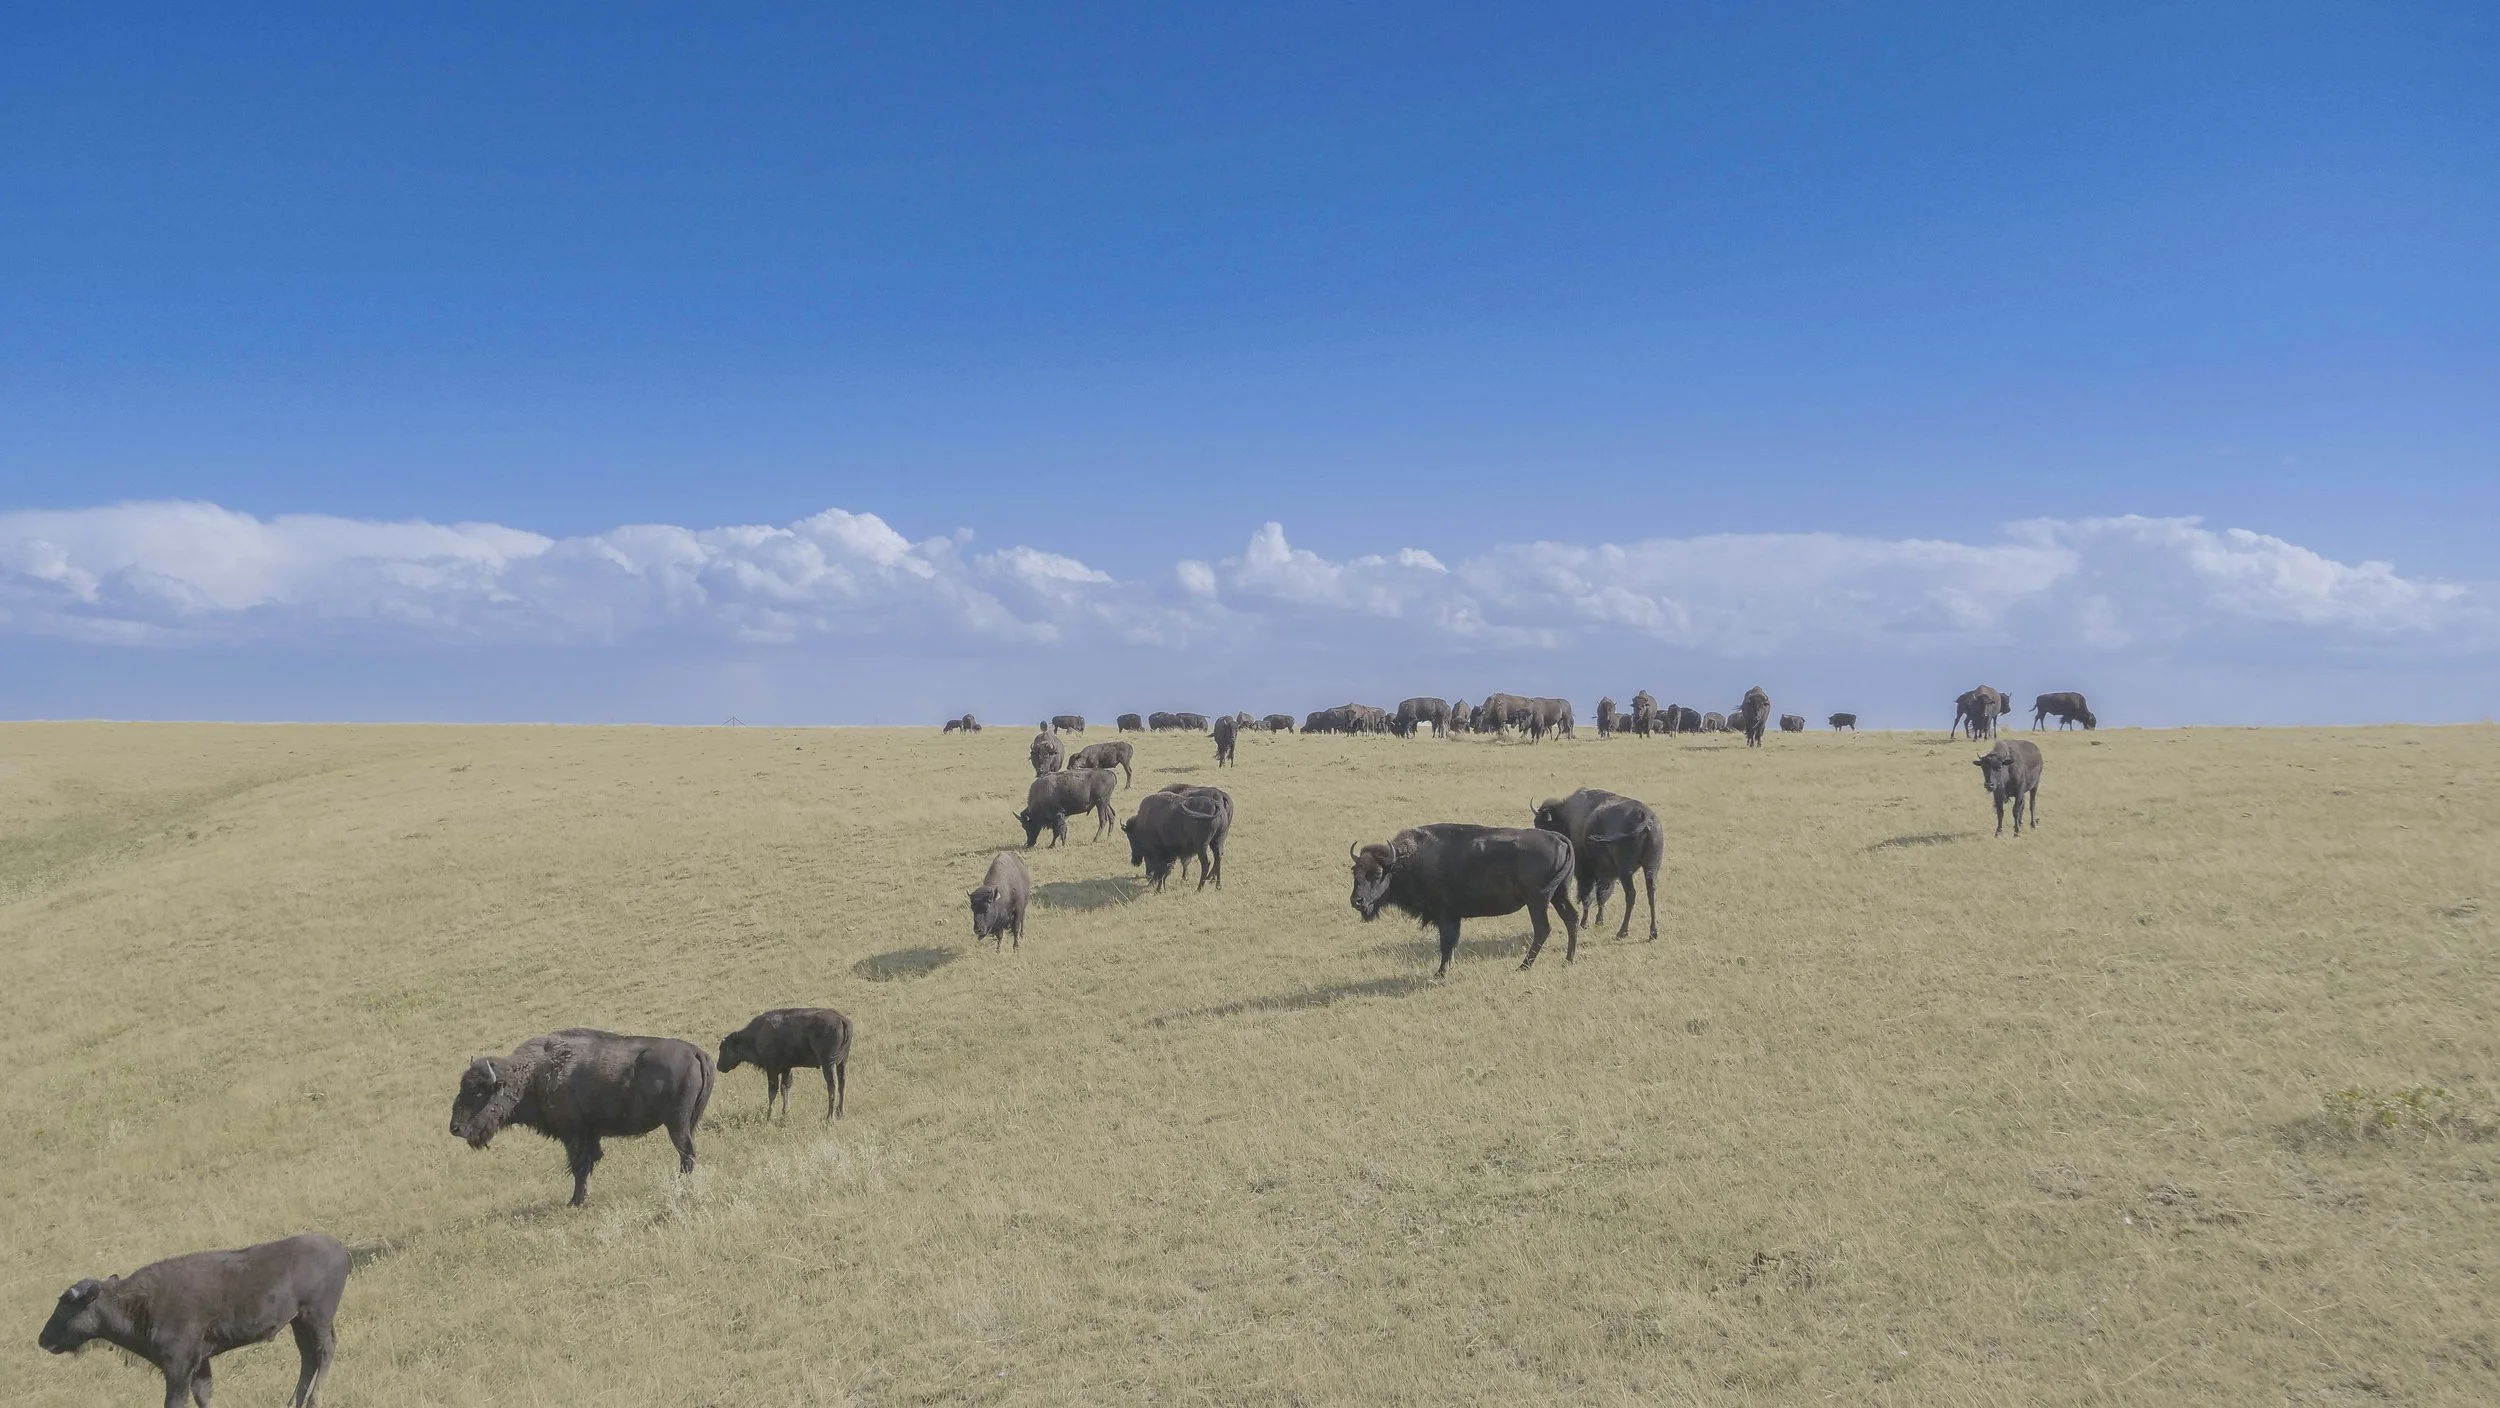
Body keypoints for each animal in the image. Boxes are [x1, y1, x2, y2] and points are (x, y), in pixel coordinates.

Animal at [40, 1233, 349, 1408]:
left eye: (66, 1306)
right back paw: (293, 1403)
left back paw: (314, 1401)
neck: (136, 1302)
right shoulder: (201, 1364)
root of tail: (339, 1249)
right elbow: (204, 1396)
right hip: (299, 1322)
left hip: (315, 1317)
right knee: (308, 1357)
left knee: (324, 1351)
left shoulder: (179, 1368)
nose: (43, 1339)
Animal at [449, 1028, 715, 1207]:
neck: (533, 1075)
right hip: (690, 1122)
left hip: (676, 1123)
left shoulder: (573, 1135)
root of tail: (695, 1051)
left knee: (686, 1152)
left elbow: (579, 1166)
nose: (455, 1128)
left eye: (478, 1092)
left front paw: (575, 1201)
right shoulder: (590, 1135)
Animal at [718, 1007, 853, 1121]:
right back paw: (840, 1113)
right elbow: (785, 1088)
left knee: (832, 1085)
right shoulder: (787, 1068)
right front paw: (785, 1113)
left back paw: (830, 1117)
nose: (718, 1066)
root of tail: (842, 1020)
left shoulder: (772, 1069)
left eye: (725, 1048)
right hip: (842, 1062)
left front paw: (769, 1116)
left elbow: (772, 1091)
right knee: (842, 1083)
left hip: (828, 1063)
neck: (758, 1033)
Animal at [1348, 824, 1581, 974]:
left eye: (1378, 873)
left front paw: (1440, 973)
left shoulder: (1446, 916)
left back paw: (1523, 967)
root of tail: (1558, 838)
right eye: (1354, 871)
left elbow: (1447, 943)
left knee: (1543, 929)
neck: (1406, 861)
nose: (1356, 901)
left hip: (1537, 902)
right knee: (1571, 919)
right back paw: (1568, 960)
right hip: (1559, 895)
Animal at [1531, 788, 1663, 941]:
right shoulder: (1606, 875)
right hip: (1651, 868)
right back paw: (1653, 933)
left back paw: (1622, 932)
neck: (1569, 817)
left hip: (1625, 871)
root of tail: (1646, 818)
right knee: (1651, 893)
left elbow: (1587, 896)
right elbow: (1601, 897)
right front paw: (1599, 921)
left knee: (1631, 895)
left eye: (1543, 824)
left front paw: (1584, 923)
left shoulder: (1586, 873)